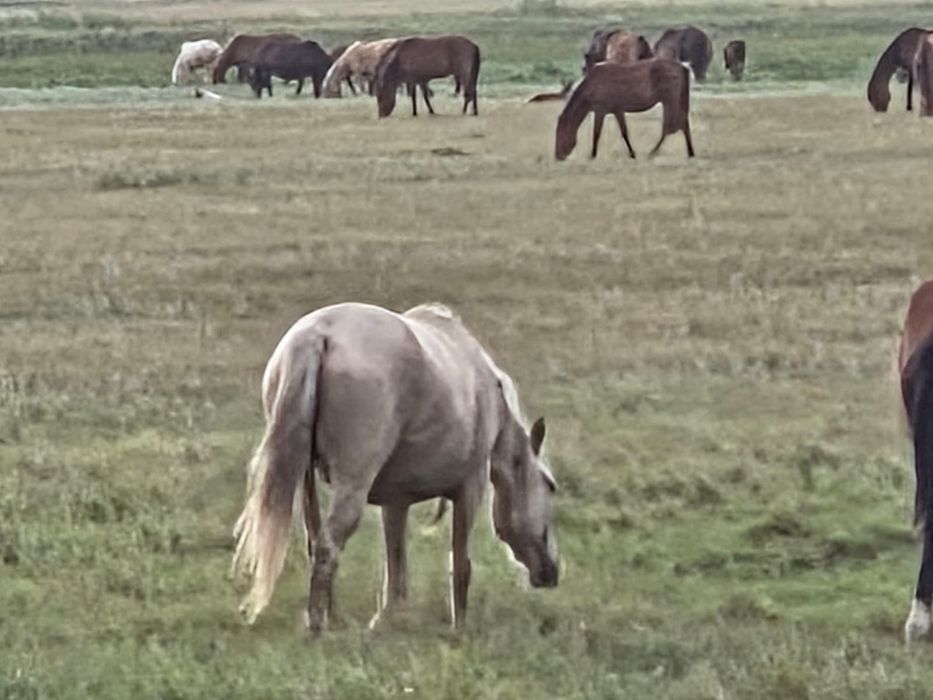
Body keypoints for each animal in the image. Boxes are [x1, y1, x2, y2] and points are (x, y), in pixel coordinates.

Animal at [231, 302, 558, 635]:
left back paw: (330, 617)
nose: (551, 571)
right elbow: (460, 564)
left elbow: (396, 562)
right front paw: (460, 628)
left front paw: (388, 618)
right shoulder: (469, 488)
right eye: (549, 485)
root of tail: (319, 334)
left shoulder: (395, 501)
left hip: (304, 479)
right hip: (353, 484)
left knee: (316, 543)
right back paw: (319, 626)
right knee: (328, 545)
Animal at [555, 59, 694, 161]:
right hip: (673, 100)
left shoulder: (600, 110)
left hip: (670, 100)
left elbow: (597, 133)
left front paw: (593, 155)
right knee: (682, 123)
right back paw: (690, 152)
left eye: (560, 133)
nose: (558, 156)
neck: (591, 86)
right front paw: (632, 154)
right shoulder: (617, 110)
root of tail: (682, 67)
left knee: (673, 125)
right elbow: (624, 132)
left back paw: (654, 152)